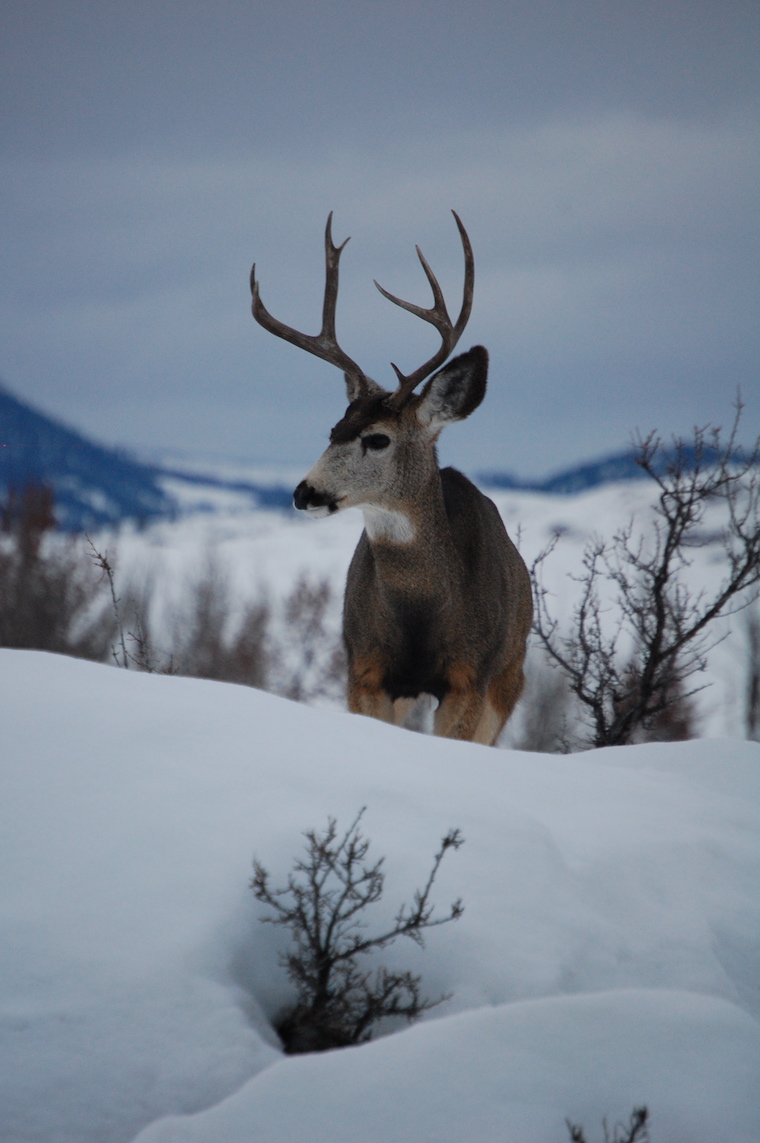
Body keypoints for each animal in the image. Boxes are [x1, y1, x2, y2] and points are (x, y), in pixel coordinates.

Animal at [250, 212, 532, 745]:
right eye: (333, 430)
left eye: (378, 439)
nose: (303, 492)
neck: (422, 610)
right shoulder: (366, 666)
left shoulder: (471, 675)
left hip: (511, 675)